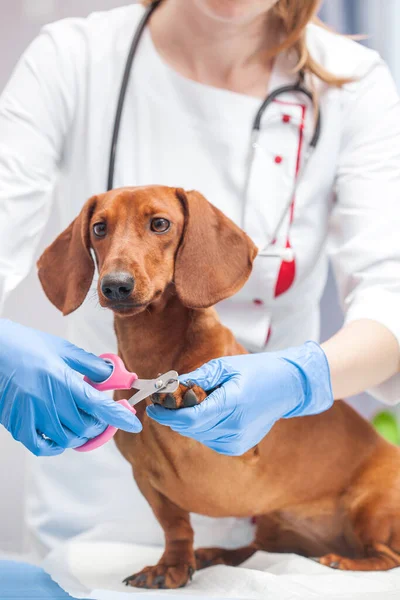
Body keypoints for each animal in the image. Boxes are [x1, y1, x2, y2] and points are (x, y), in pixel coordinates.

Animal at [36, 185, 400, 588]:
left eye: (160, 223)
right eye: (99, 228)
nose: (115, 285)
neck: (153, 356)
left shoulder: (239, 454)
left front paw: (185, 393)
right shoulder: (148, 481)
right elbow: (176, 528)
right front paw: (172, 566)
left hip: (371, 508)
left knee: (386, 556)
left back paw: (345, 562)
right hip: (274, 527)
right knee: (254, 550)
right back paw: (213, 554)